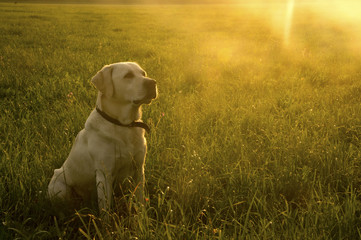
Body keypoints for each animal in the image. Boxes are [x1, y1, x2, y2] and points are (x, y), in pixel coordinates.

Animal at [47, 62, 156, 216]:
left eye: (143, 74)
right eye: (128, 75)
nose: (153, 83)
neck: (124, 125)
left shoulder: (139, 169)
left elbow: (140, 199)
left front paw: (142, 216)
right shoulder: (104, 174)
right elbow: (105, 210)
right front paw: (107, 223)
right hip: (60, 189)